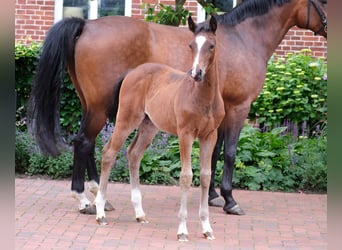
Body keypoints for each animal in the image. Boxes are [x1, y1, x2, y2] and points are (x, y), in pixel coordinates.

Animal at [28, 0, 326, 215]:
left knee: (89, 144)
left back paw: (99, 196)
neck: (243, 38)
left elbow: (214, 154)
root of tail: (85, 25)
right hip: (102, 108)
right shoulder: (239, 108)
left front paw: (212, 196)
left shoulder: (218, 114)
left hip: (92, 105)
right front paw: (230, 200)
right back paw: (83, 199)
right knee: (84, 142)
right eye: (323, 2)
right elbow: (230, 153)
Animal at [94, 15, 222, 240]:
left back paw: (139, 213)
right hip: (127, 119)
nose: (196, 73)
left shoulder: (210, 135)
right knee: (109, 152)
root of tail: (132, 72)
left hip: (149, 126)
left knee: (133, 154)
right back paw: (100, 212)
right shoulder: (185, 134)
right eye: (191, 45)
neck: (203, 98)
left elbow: (206, 176)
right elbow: (186, 176)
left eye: (211, 45)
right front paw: (182, 230)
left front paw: (207, 228)